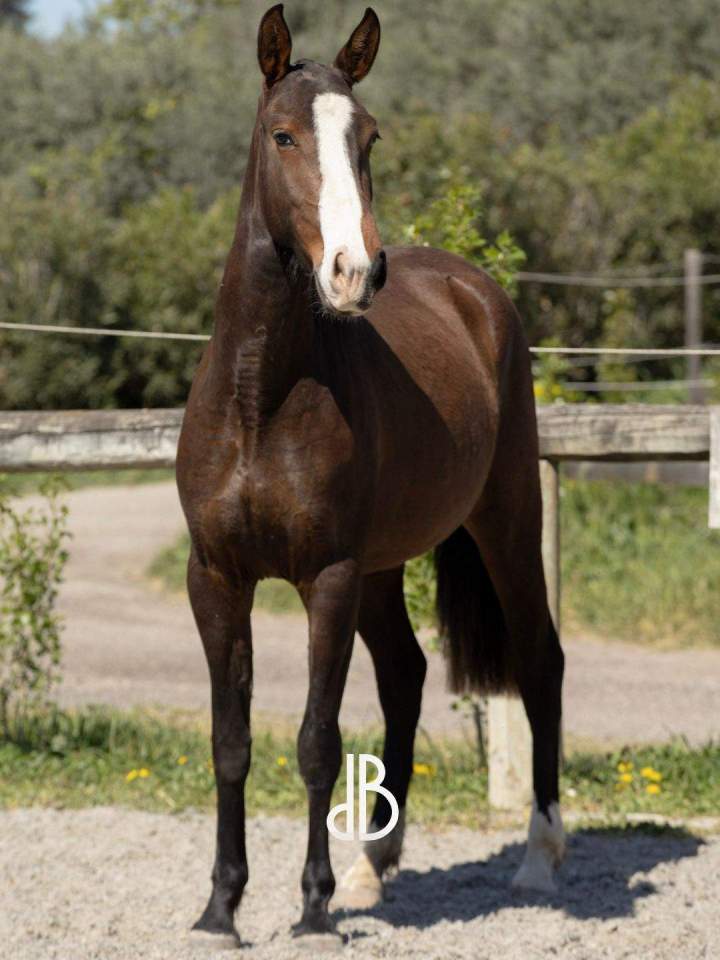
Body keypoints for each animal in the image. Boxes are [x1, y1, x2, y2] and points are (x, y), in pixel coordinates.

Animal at [176, 3, 565, 945]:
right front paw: (221, 909)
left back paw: (539, 857)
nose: (357, 271)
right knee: (407, 676)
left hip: (504, 521)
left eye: (371, 136)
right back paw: (372, 866)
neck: (260, 400)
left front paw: (312, 910)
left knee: (540, 659)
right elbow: (230, 741)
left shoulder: (328, 577)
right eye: (282, 135)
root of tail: (475, 292)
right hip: (386, 569)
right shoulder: (218, 578)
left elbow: (316, 740)